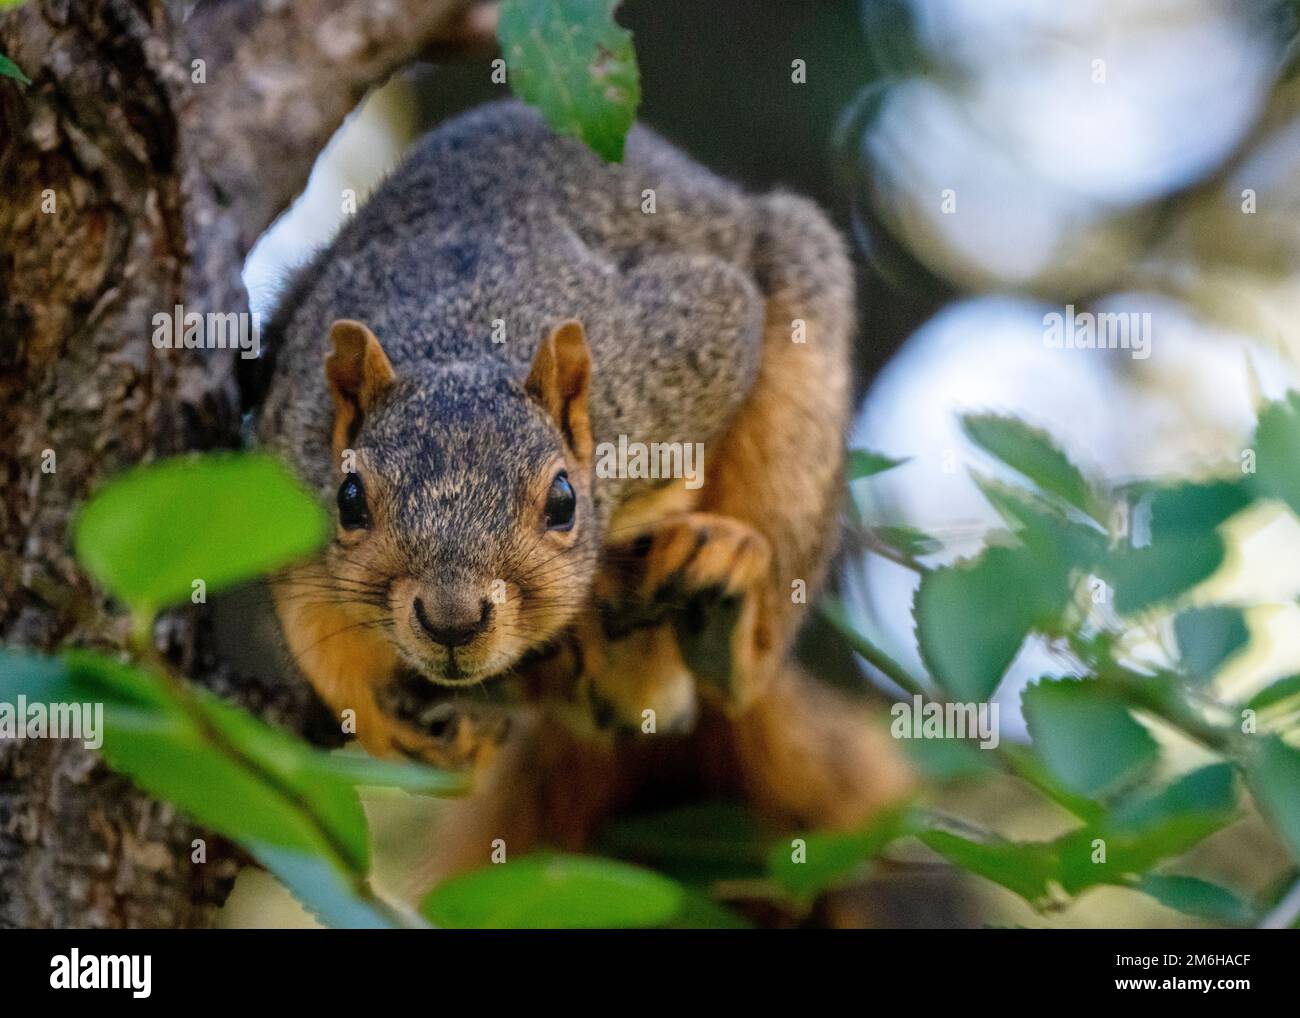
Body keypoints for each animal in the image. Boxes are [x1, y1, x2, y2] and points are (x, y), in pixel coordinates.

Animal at [257, 100, 910, 882]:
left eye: (564, 501)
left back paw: (713, 614)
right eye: (349, 500)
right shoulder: (286, 443)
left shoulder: (686, 350)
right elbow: (299, 598)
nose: (452, 620)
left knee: (745, 655)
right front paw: (369, 701)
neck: (461, 335)